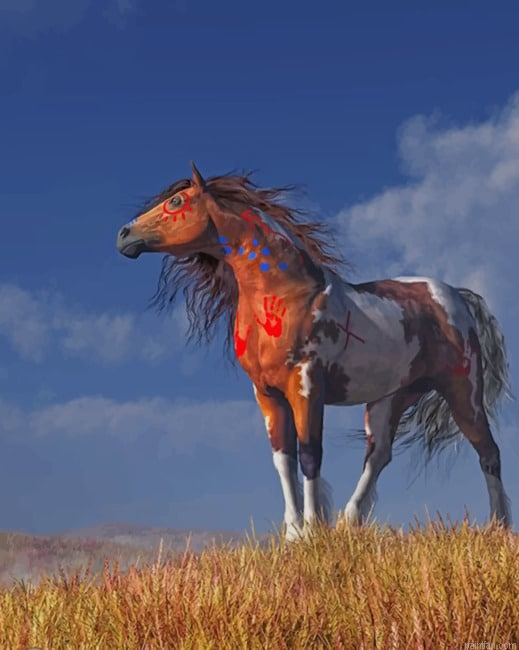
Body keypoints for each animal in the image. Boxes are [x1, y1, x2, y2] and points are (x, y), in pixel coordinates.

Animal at [116, 162, 512, 539]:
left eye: (176, 202)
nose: (124, 236)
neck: (287, 294)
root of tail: (457, 296)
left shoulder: (306, 386)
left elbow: (309, 454)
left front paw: (311, 530)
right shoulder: (267, 393)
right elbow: (283, 458)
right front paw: (293, 533)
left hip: (462, 390)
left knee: (488, 451)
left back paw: (499, 527)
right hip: (392, 397)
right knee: (379, 455)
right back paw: (348, 522)